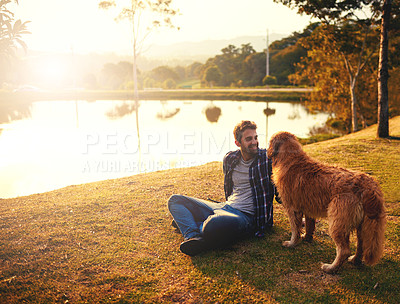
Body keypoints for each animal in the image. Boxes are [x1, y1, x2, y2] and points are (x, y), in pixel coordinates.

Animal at [268, 132, 386, 274]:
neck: (292, 159)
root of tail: (368, 186)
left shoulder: (292, 209)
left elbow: (295, 229)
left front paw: (292, 243)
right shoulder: (308, 207)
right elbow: (309, 225)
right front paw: (307, 238)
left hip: (337, 222)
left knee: (344, 250)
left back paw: (330, 268)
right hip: (363, 225)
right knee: (361, 245)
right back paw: (355, 260)